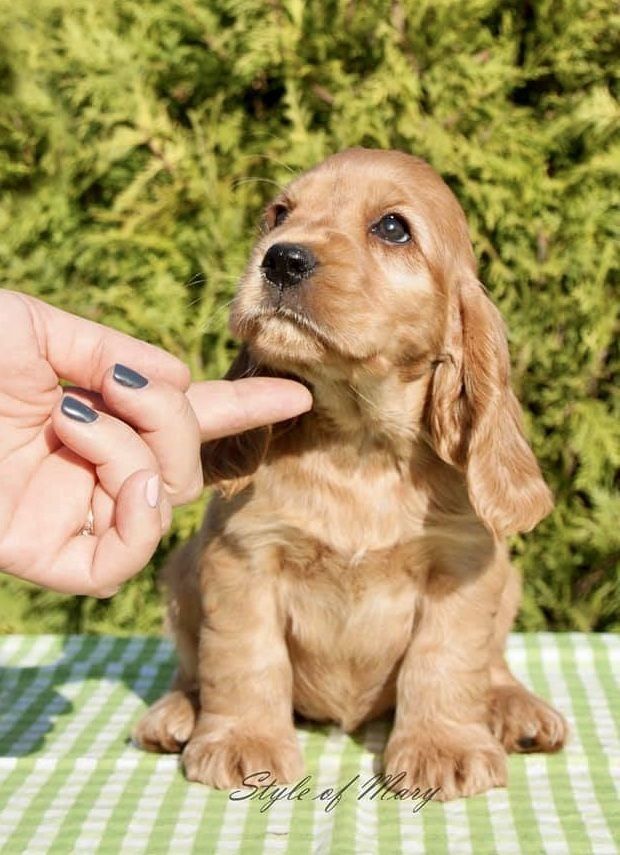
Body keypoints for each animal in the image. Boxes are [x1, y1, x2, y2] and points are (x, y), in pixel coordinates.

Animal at [134, 149, 568, 804]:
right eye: (279, 214)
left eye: (392, 228)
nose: (281, 258)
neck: (359, 443)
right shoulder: (241, 558)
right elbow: (244, 657)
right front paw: (244, 743)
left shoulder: (464, 568)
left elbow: (444, 661)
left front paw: (442, 748)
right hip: (181, 574)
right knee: (191, 666)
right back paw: (177, 713)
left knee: (493, 666)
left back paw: (517, 709)